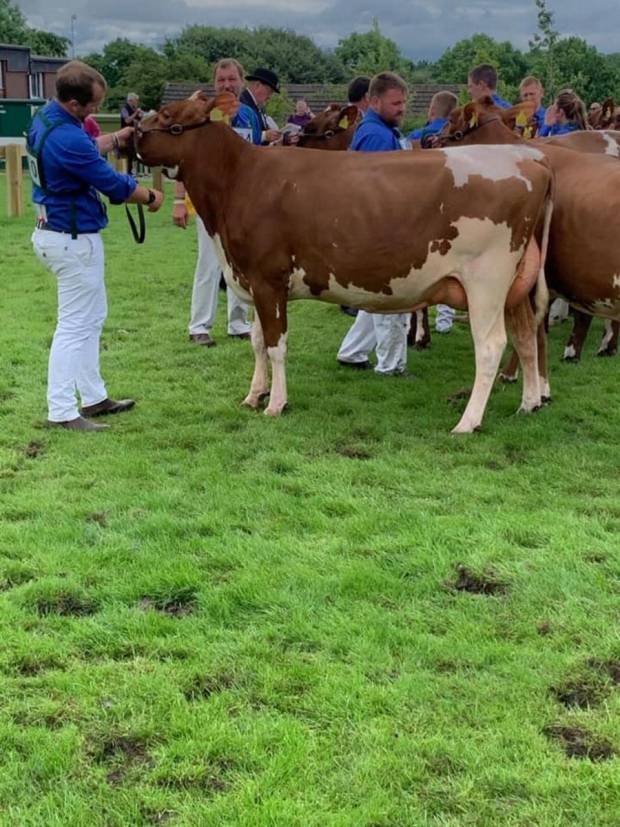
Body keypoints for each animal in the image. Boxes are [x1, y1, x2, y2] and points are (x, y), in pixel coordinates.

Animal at [137, 92, 552, 434]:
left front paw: (275, 404)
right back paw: (529, 402)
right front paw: (254, 395)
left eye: (170, 116)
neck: (240, 180)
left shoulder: (269, 279)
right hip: (515, 287)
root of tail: (532, 163)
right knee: (526, 336)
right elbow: (256, 342)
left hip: (486, 281)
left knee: (491, 346)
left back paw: (468, 422)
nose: (133, 132)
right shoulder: (255, 281)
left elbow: (275, 345)